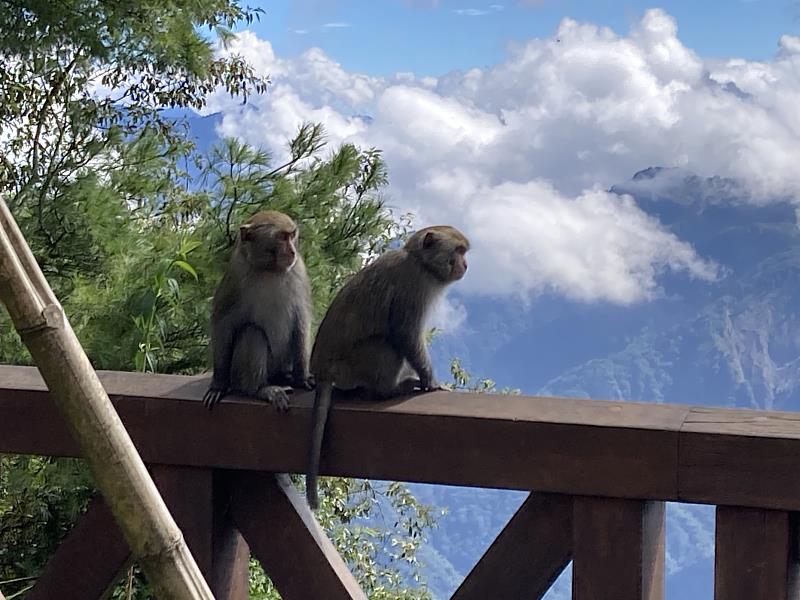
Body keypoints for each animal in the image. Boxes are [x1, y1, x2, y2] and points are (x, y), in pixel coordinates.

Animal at [203, 211, 312, 412]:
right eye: (282, 237)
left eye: (292, 235)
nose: (293, 251)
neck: (269, 269)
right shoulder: (236, 274)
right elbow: (222, 323)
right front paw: (218, 385)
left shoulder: (299, 269)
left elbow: (301, 319)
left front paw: (302, 377)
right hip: (239, 373)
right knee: (252, 332)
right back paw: (260, 389)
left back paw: (285, 377)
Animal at [304, 225, 468, 506]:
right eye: (458, 250)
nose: (465, 264)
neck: (420, 261)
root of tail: (322, 370)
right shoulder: (413, 285)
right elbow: (405, 334)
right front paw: (431, 382)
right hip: (350, 367)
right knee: (386, 344)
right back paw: (388, 390)